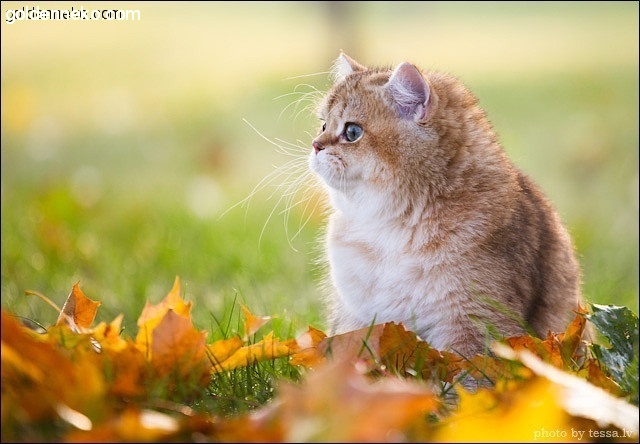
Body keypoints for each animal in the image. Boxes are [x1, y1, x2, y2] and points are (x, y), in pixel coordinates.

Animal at [308, 52, 584, 360]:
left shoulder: (472, 321)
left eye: (352, 131)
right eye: (323, 125)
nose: (315, 145)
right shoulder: (357, 316)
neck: (391, 227)